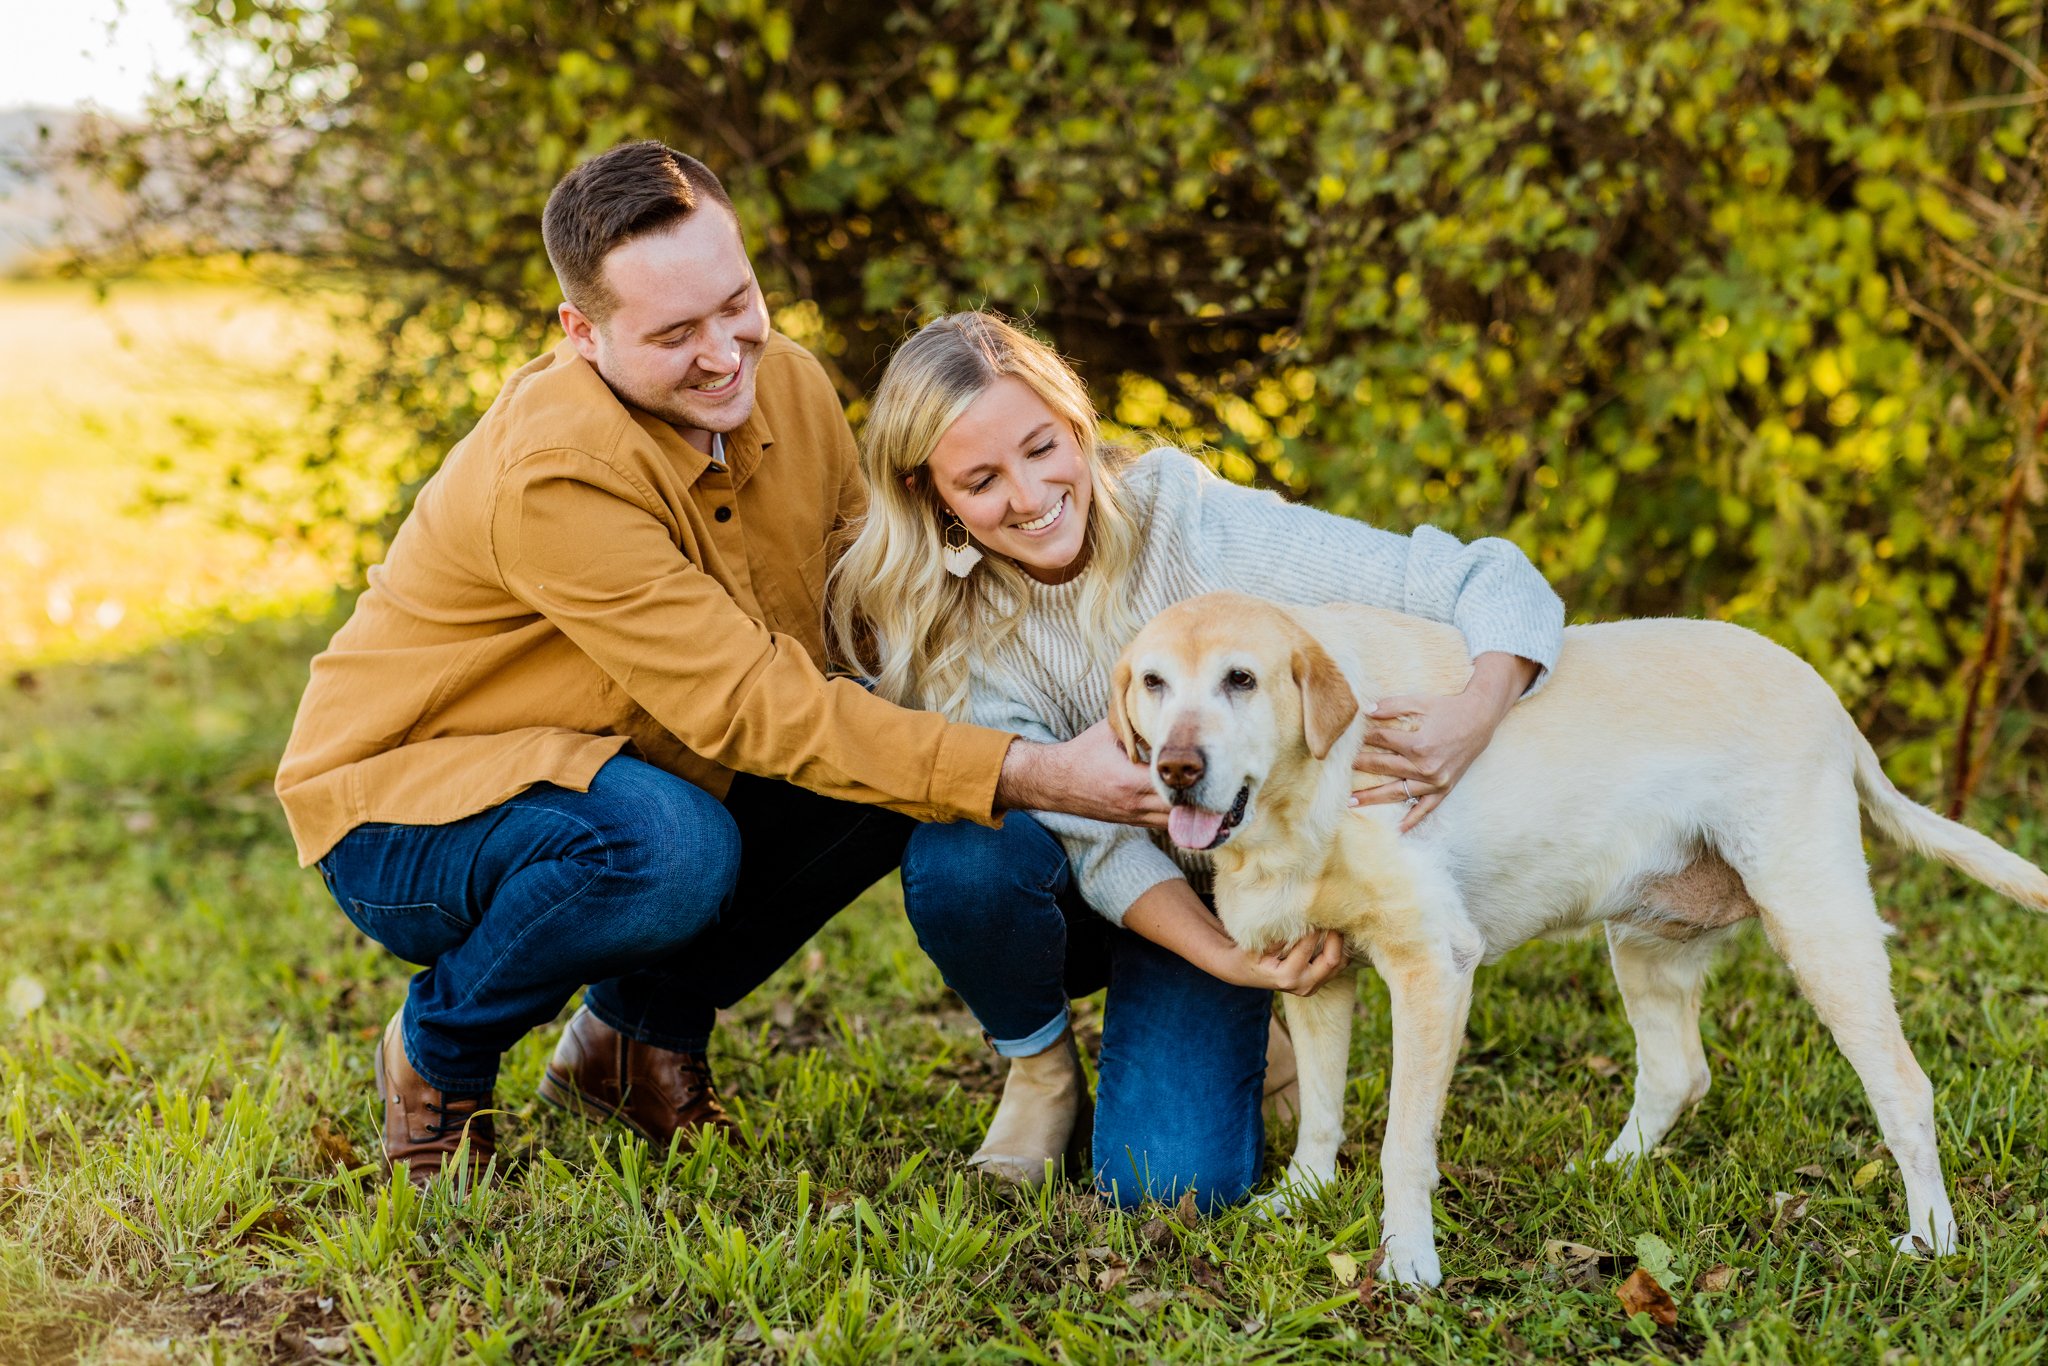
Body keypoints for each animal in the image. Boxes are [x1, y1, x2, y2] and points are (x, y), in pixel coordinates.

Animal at [1122, 593, 2048, 1286]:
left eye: (1242, 679)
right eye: (1154, 683)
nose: (1175, 767)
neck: (1297, 800)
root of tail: (1824, 694)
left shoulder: (1433, 966)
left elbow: (1401, 1145)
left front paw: (1409, 1260)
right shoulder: (1314, 974)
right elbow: (1320, 1113)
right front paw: (1303, 1199)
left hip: (1816, 923)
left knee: (1904, 1087)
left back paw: (1931, 1238)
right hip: (1645, 942)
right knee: (1678, 1073)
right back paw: (1609, 1170)